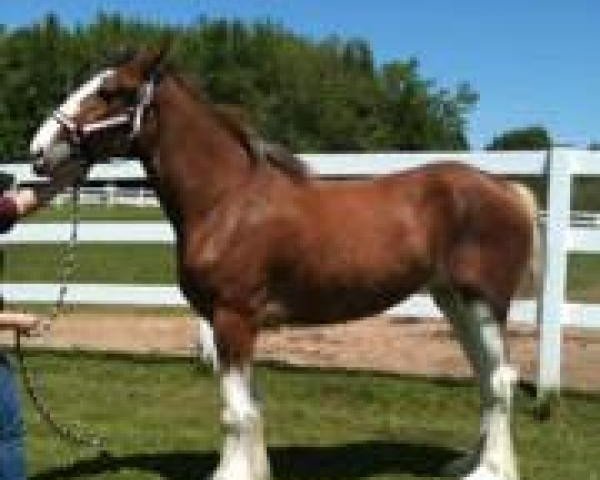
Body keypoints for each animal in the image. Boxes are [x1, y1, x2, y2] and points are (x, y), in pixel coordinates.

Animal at [30, 47, 540, 480]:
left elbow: (236, 413)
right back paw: (467, 463)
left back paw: (488, 471)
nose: (37, 151)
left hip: (481, 302)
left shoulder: (233, 317)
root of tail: (505, 187)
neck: (227, 201)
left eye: (111, 91)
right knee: (486, 379)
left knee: (500, 379)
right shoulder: (235, 323)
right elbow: (250, 405)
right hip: (452, 300)